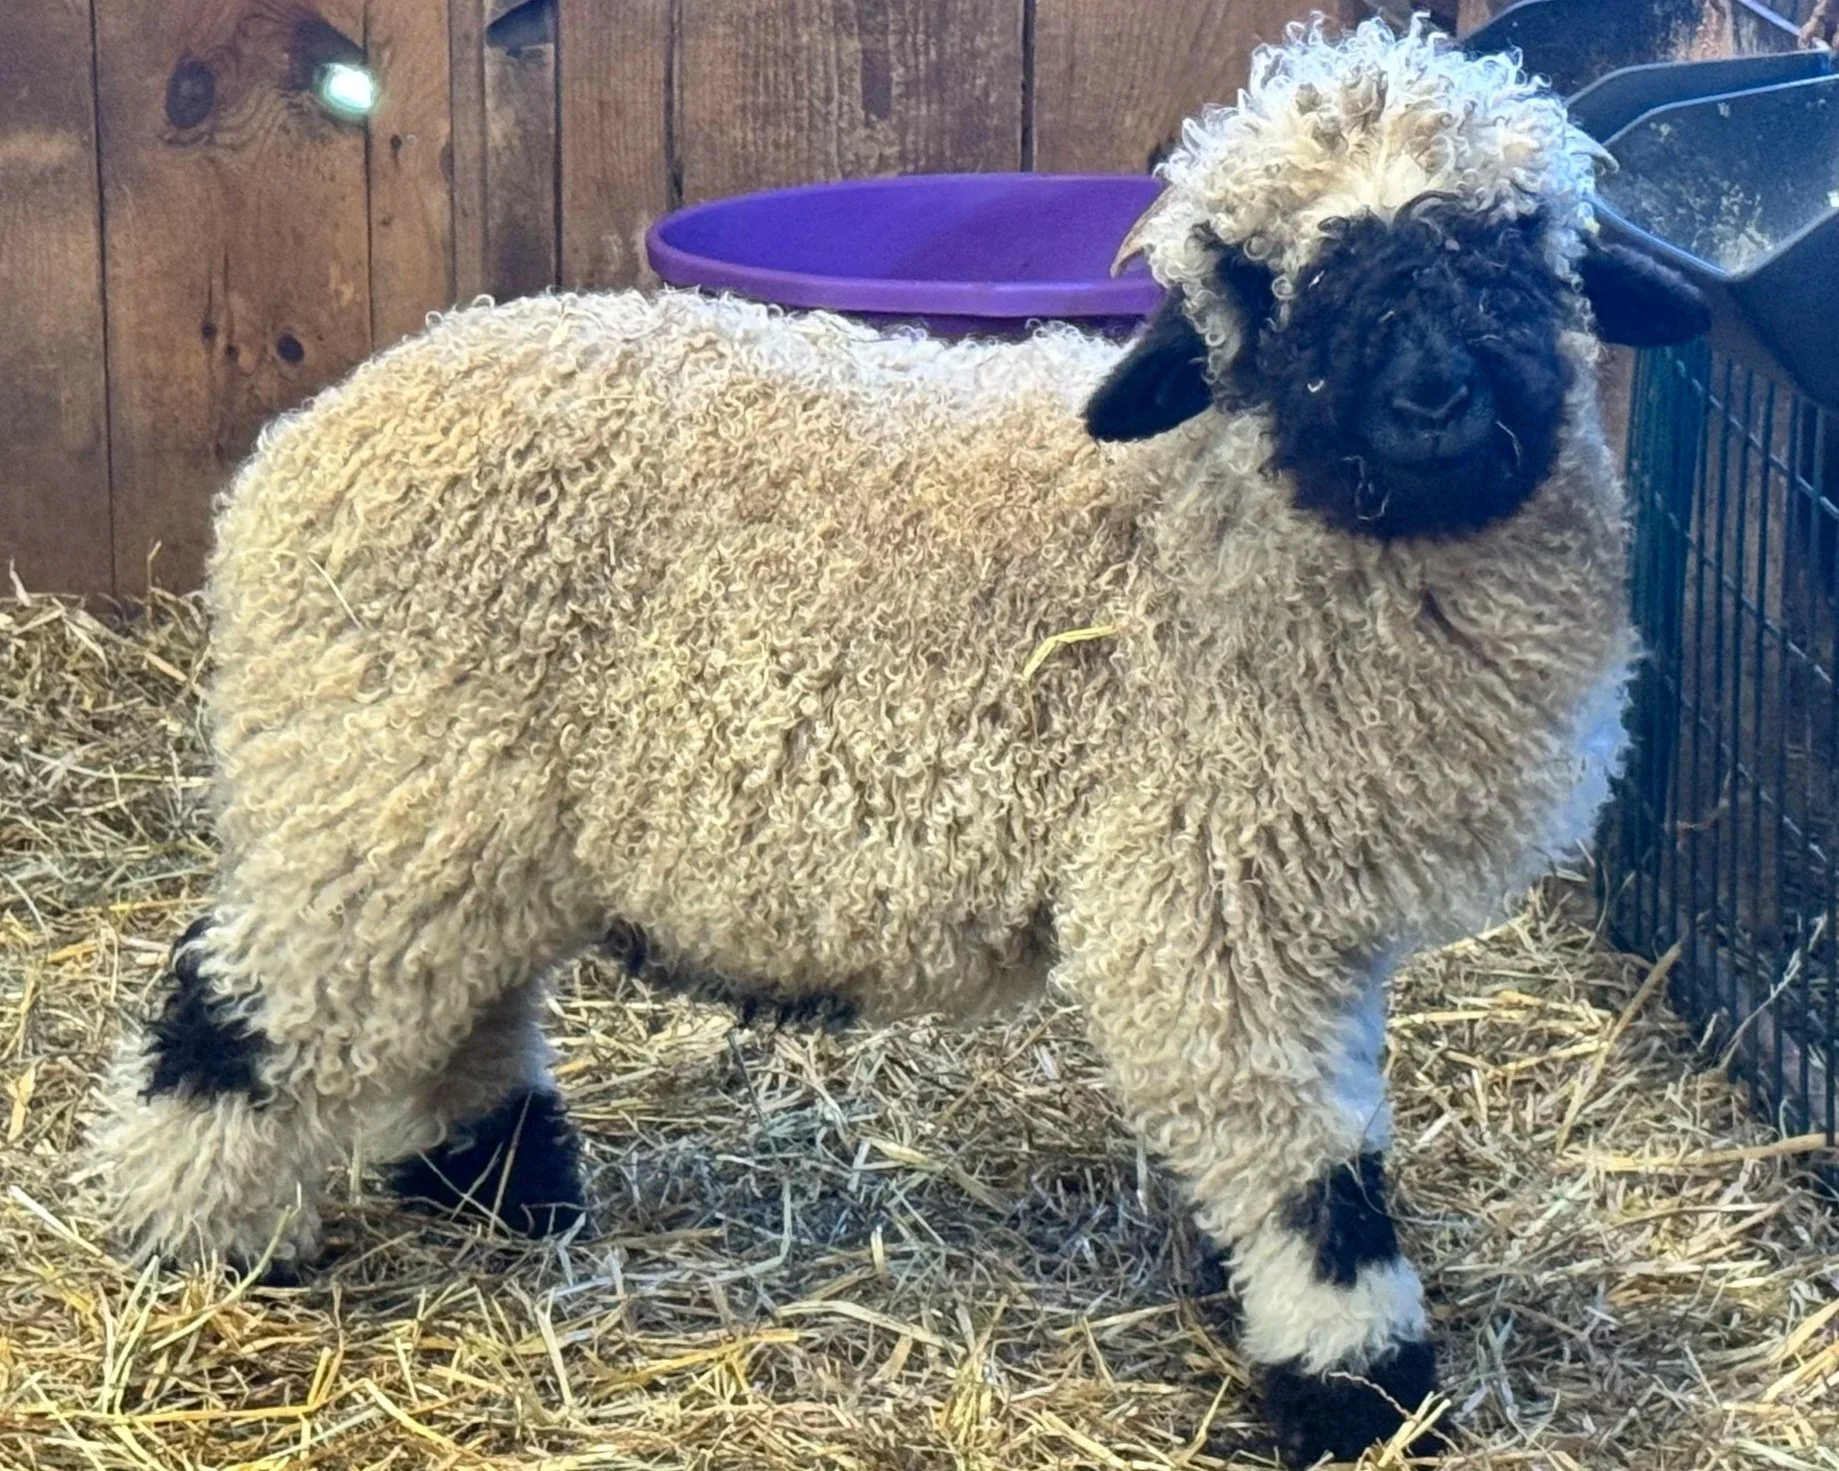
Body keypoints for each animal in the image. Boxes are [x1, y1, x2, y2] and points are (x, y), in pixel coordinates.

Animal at [87, 18, 1709, 1465]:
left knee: (451, 997)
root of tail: (304, 443)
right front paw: (1361, 1385)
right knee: (239, 1009)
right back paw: (193, 1241)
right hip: (376, 776)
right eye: (1254, 281)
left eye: (1515, 237)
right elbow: (1313, 1175)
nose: (1430, 396)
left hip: (454, 815)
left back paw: (499, 1184)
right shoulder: (1205, 901)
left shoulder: (1310, 922)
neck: (1222, 516)